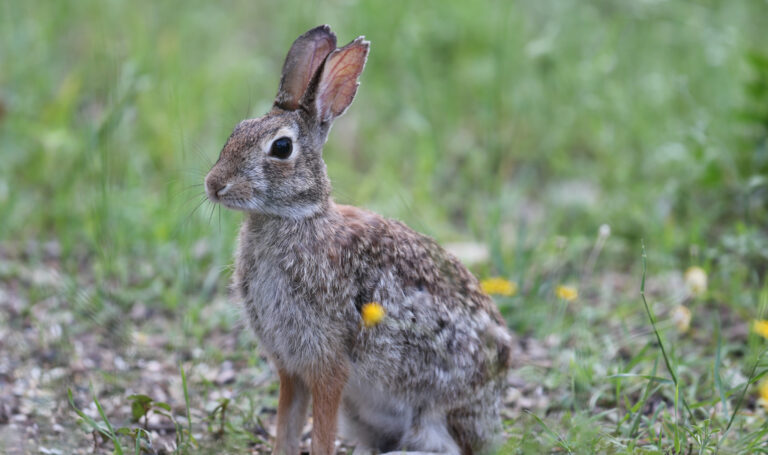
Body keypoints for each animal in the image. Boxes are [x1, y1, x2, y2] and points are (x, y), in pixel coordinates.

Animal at [204, 25, 513, 455]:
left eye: (281, 147)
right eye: (237, 129)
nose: (214, 184)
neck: (292, 219)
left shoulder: (328, 366)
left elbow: (321, 430)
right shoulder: (290, 368)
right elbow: (287, 424)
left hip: (434, 413)